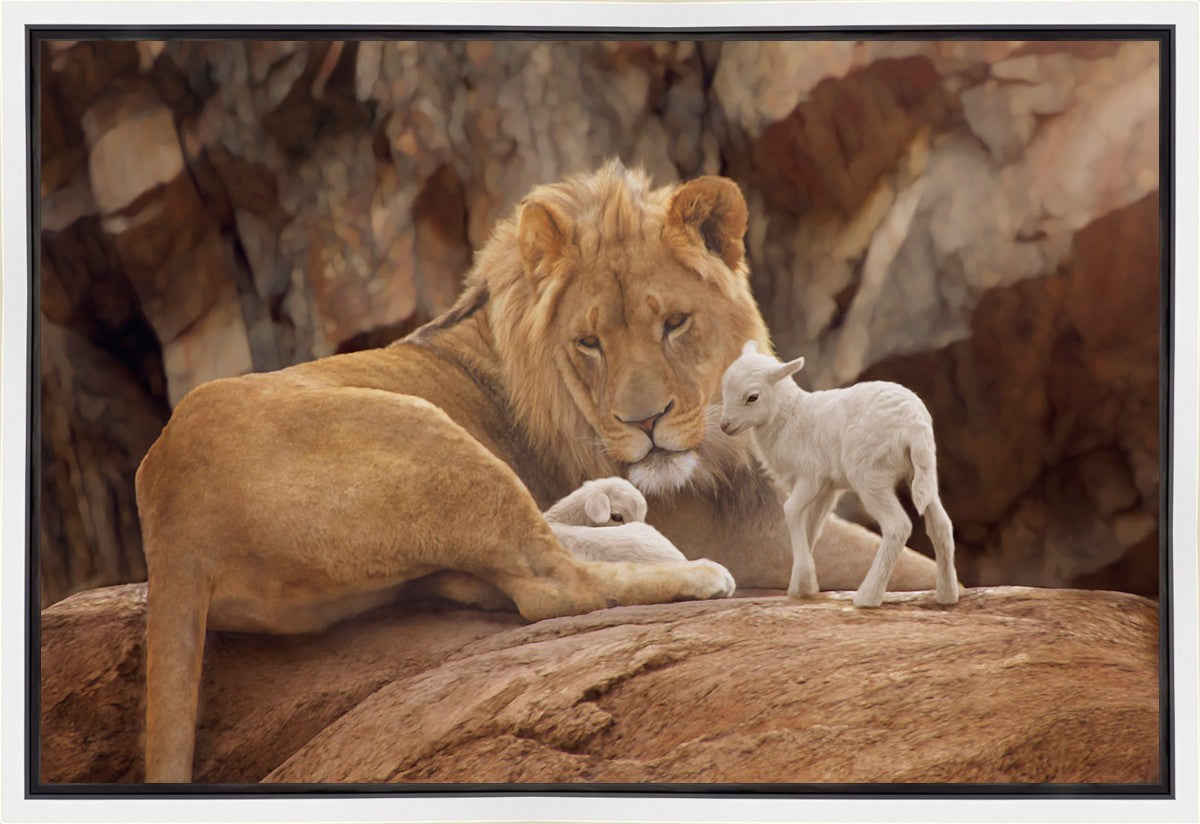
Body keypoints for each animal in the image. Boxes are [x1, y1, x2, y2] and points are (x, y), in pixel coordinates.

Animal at [718, 341, 958, 608]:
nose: (724, 425)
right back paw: (947, 595)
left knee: (898, 526)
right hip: (922, 471)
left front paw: (804, 580)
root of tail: (914, 425)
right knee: (941, 525)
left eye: (752, 397)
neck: (790, 417)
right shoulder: (827, 488)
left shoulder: (810, 476)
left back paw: (867, 596)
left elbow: (791, 510)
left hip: (870, 474)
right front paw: (802, 585)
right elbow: (811, 525)